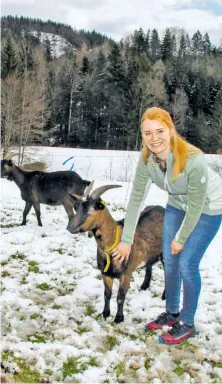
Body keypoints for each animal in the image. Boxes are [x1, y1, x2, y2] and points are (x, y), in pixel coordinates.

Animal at [67, 184, 165, 322]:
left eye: (92, 209)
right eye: (76, 207)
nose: (70, 227)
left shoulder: (126, 273)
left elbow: (120, 296)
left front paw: (119, 318)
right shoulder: (106, 274)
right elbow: (107, 294)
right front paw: (105, 313)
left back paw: (164, 296)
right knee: (149, 266)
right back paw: (144, 286)